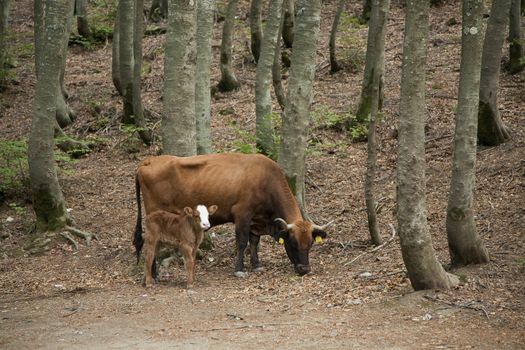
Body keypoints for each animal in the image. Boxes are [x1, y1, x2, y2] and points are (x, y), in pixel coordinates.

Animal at [133, 153, 330, 278]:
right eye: (293, 243)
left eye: (311, 243)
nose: (304, 269)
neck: (265, 180)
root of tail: (149, 161)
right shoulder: (242, 214)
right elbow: (242, 242)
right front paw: (239, 269)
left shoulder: (255, 221)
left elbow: (254, 242)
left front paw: (256, 265)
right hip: (154, 215)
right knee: (151, 243)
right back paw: (154, 274)